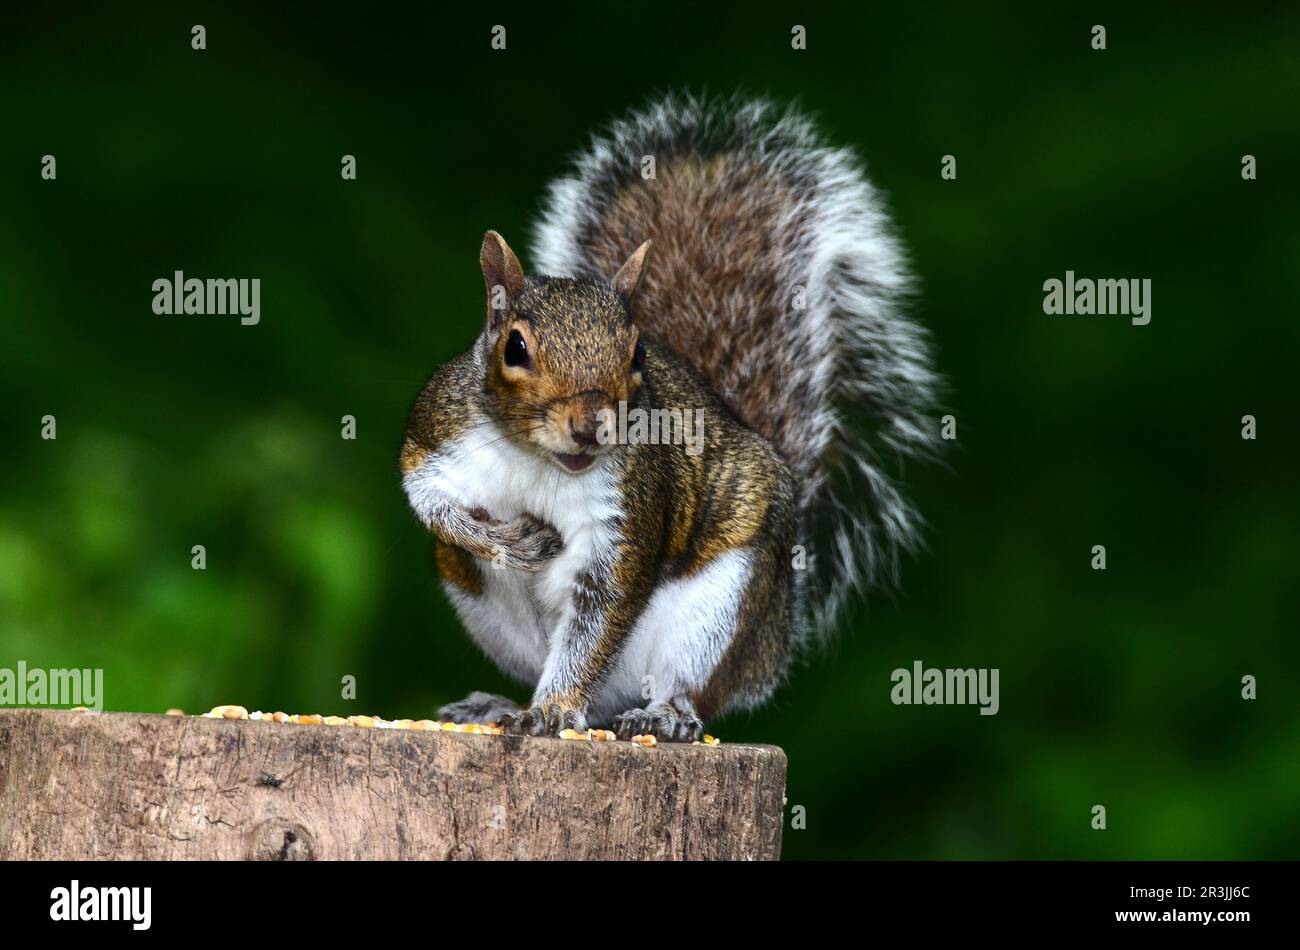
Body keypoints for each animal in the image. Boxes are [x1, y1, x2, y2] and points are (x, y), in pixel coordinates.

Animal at [395, 90, 935, 743]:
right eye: (515, 348)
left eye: (636, 354)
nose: (591, 424)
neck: (541, 463)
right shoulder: (439, 436)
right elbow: (430, 500)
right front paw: (507, 539)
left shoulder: (628, 511)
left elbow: (601, 615)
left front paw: (553, 711)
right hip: (480, 600)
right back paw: (500, 704)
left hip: (719, 608)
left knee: (683, 687)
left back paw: (663, 714)